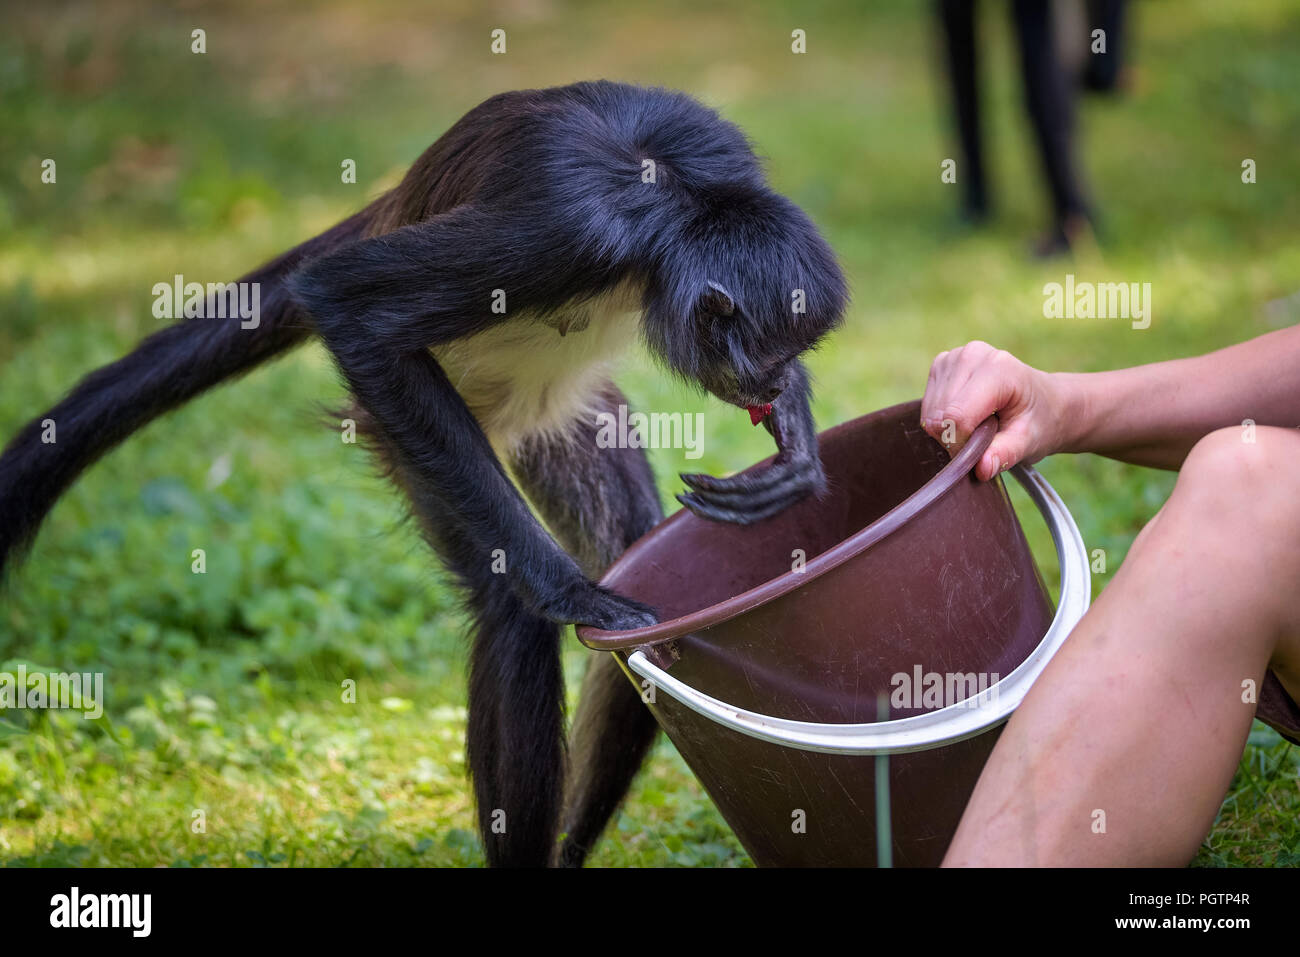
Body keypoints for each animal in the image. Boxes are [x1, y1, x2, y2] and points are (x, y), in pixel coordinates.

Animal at [0, 82, 847, 868]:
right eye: (769, 357)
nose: (777, 385)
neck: (675, 197)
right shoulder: (572, 229)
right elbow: (343, 302)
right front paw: (568, 592)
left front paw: (796, 442)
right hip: (406, 432)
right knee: (509, 607)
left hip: (554, 418)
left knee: (626, 553)